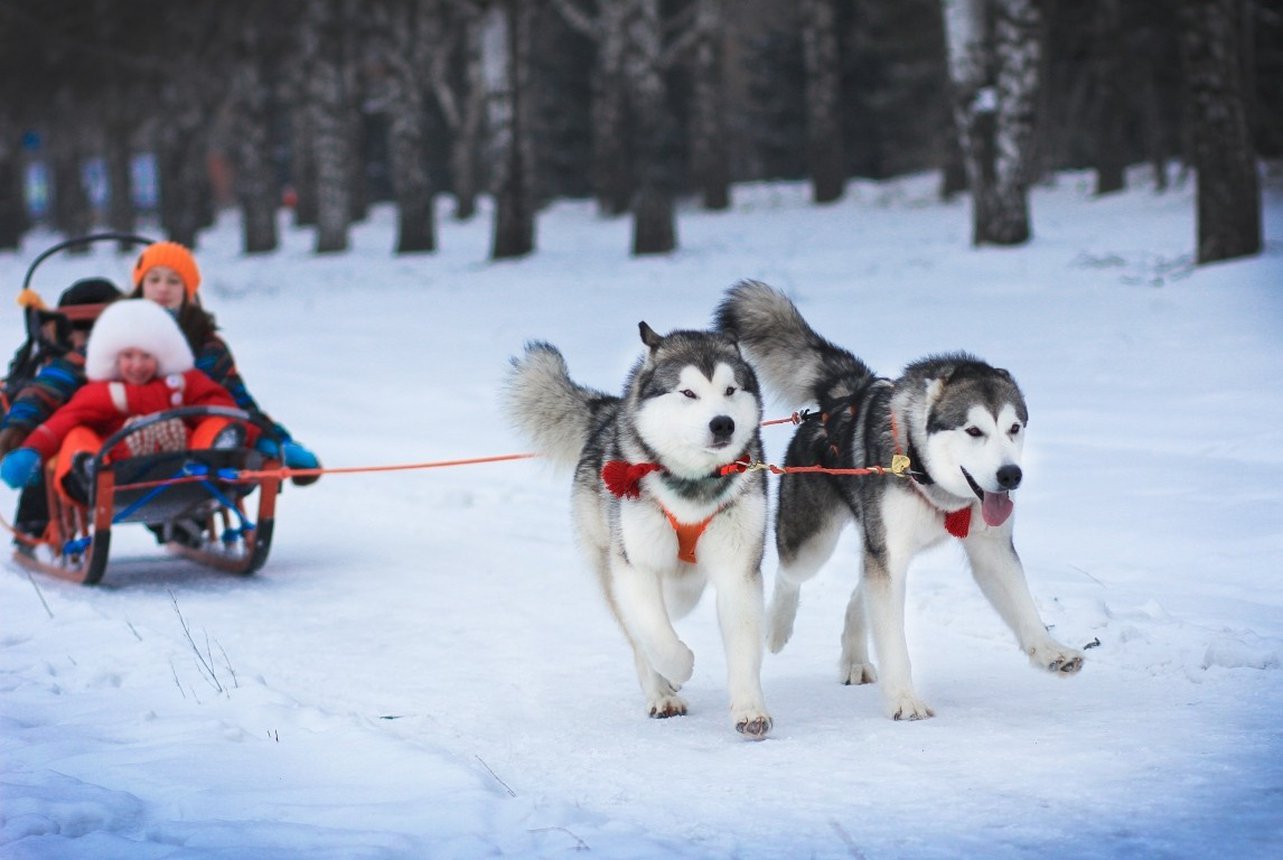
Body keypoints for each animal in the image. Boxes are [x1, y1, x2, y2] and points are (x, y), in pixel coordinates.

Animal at [505, 323, 769, 739]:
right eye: (688, 392)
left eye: (730, 390)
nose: (723, 423)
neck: (692, 484)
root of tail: (608, 413)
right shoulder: (635, 566)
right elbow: (656, 635)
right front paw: (678, 667)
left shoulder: (738, 568)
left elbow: (742, 642)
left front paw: (749, 710)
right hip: (608, 560)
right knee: (638, 630)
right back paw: (662, 693)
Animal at [718, 281, 1077, 718]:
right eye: (974, 431)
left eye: (1014, 427)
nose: (1011, 475)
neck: (928, 474)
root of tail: (844, 396)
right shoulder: (888, 555)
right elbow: (893, 641)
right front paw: (905, 699)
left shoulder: (989, 549)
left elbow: (1023, 605)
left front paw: (1051, 651)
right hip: (815, 542)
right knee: (792, 575)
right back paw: (777, 627)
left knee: (860, 591)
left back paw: (855, 658)